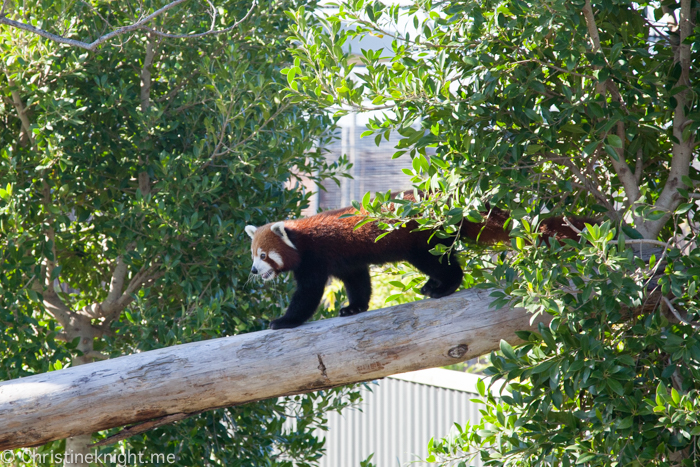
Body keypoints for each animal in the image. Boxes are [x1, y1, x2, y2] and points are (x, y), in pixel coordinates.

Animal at [246, 199, 592, 330]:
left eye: (263, 256)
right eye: (252, 255)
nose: (252, 271)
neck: (302, 238)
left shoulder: (316, 259)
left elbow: (307, 295)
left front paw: (284, 321)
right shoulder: (347, 260)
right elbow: (358, 282)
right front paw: (354, 307)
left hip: (422, 240)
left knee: (442, 263)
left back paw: (443, 287)